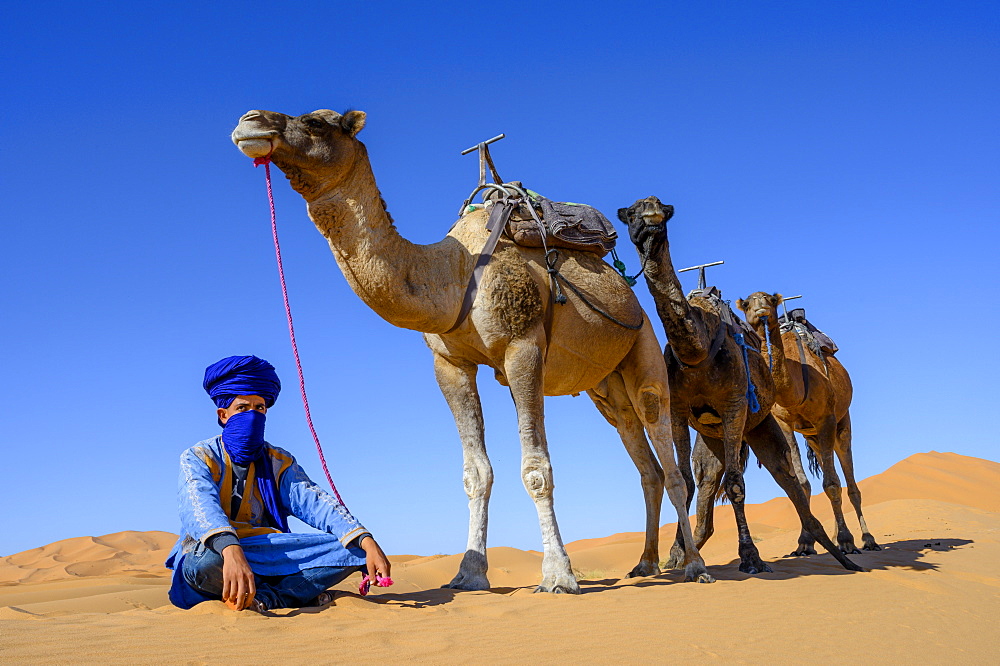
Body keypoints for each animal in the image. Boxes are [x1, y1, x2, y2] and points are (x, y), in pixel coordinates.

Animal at [230, 110, 716, 592]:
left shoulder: (523, 348)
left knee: (670, 461)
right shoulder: (450, 364)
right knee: (647, 466)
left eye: (317, 122)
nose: (249, 122)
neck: (453, 272)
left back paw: (693, 566)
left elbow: (536, 469)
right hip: (606, 387)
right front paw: (469, 573)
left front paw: (558, 575)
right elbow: (475, 473)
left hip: (645, 351)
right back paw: (645, 564)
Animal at [616, 193, 860, 572]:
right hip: (717, 438)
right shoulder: (678, 411)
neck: (697, 348)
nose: (650, 212)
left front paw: (750, 556)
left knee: (791, 480)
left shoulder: (734, 406)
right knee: (717, 481)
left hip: (764, 427)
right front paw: (682, 558)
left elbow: (736, 484)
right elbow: (685, 481)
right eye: (630, 213)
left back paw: (840, 551)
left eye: (663, 209)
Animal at [740, 290, 880, 548]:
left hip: (841, 424)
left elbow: (832, 484)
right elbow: (802, 483)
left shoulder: (826, 419)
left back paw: (866, 539)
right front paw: (805, 542)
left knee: (850, 483)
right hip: (813, 435)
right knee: (830, 471)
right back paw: (836, 537)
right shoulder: (784, 424)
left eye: (771, 300)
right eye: (745, 303)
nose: (759, 307)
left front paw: (846, 540)